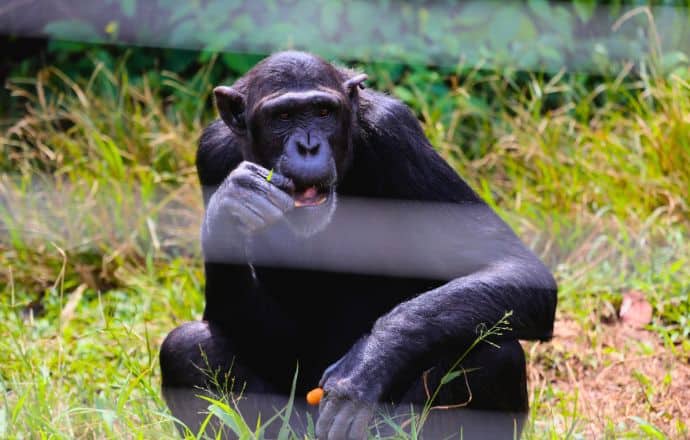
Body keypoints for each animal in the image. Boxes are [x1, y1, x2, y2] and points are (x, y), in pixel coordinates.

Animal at [159, 50, 556, 436]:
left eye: (323, 111)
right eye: (283, 116)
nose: (307, 145)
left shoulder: (398, 135)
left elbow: (513, 266)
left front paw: (367, 363)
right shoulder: (211, 152)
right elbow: (252, 332)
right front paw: (231, 205)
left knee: (495, 353)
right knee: (185, 347)